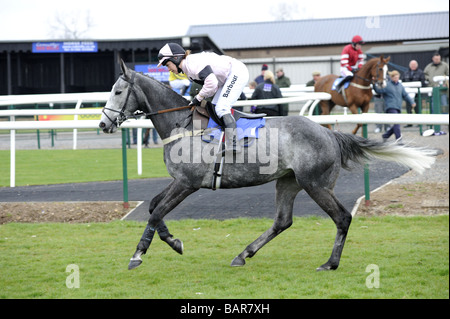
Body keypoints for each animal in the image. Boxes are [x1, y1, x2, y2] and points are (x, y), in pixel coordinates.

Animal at [100, 60, 434, 272]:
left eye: (117, 91)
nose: (103, 124)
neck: (181, 123)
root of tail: (329, 133)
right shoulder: (180, 181)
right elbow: (153, 207)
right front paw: (174, 242)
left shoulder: (188, 183)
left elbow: (156, 211)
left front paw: (138, 255)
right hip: (288, 181)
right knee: (282, 221)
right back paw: (243, 254)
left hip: (315, 184)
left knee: (342, 218)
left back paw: (330, 263)